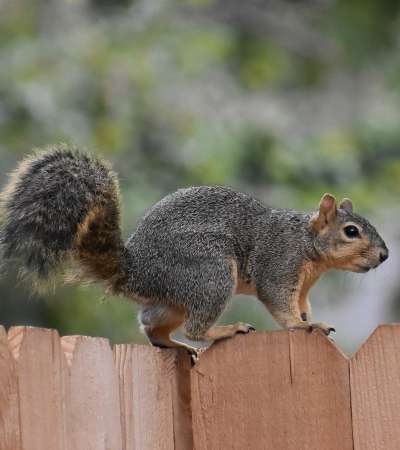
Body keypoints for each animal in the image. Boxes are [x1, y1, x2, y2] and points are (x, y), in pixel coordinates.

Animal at [0, 146, 388, 350]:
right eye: (351, 231)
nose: (384, 256)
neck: (307, 244)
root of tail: (135, 271)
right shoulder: (278, 265)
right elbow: (280, 303)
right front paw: (299, 325)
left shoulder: (303, 285)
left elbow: (304, 305)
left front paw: (313, 319)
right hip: (210, 275)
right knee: (194, 328)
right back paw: (222, 331)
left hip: (173, 298)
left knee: (153, 328)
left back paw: (177, 346)